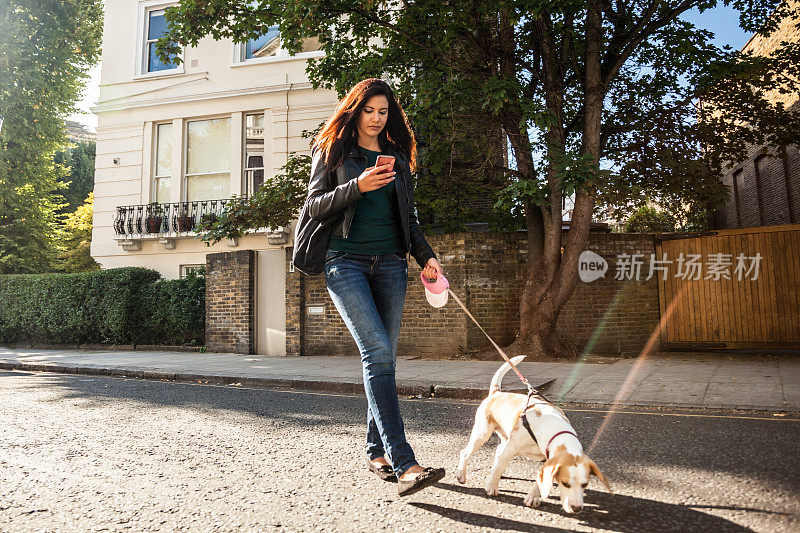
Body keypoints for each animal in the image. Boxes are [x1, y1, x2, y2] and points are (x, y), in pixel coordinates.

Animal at [456, 356, 612, 512]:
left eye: (584, 485)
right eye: (565, 483)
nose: (577, 508)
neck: (554, 429)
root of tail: (497, 393)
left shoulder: (547, 459)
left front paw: (533, 497)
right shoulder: (512, 449)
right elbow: (499, 468)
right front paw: (491, 487)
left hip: (504, 437)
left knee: (498, 452)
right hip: (482, 433)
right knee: (466, 452)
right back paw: (461, 475)